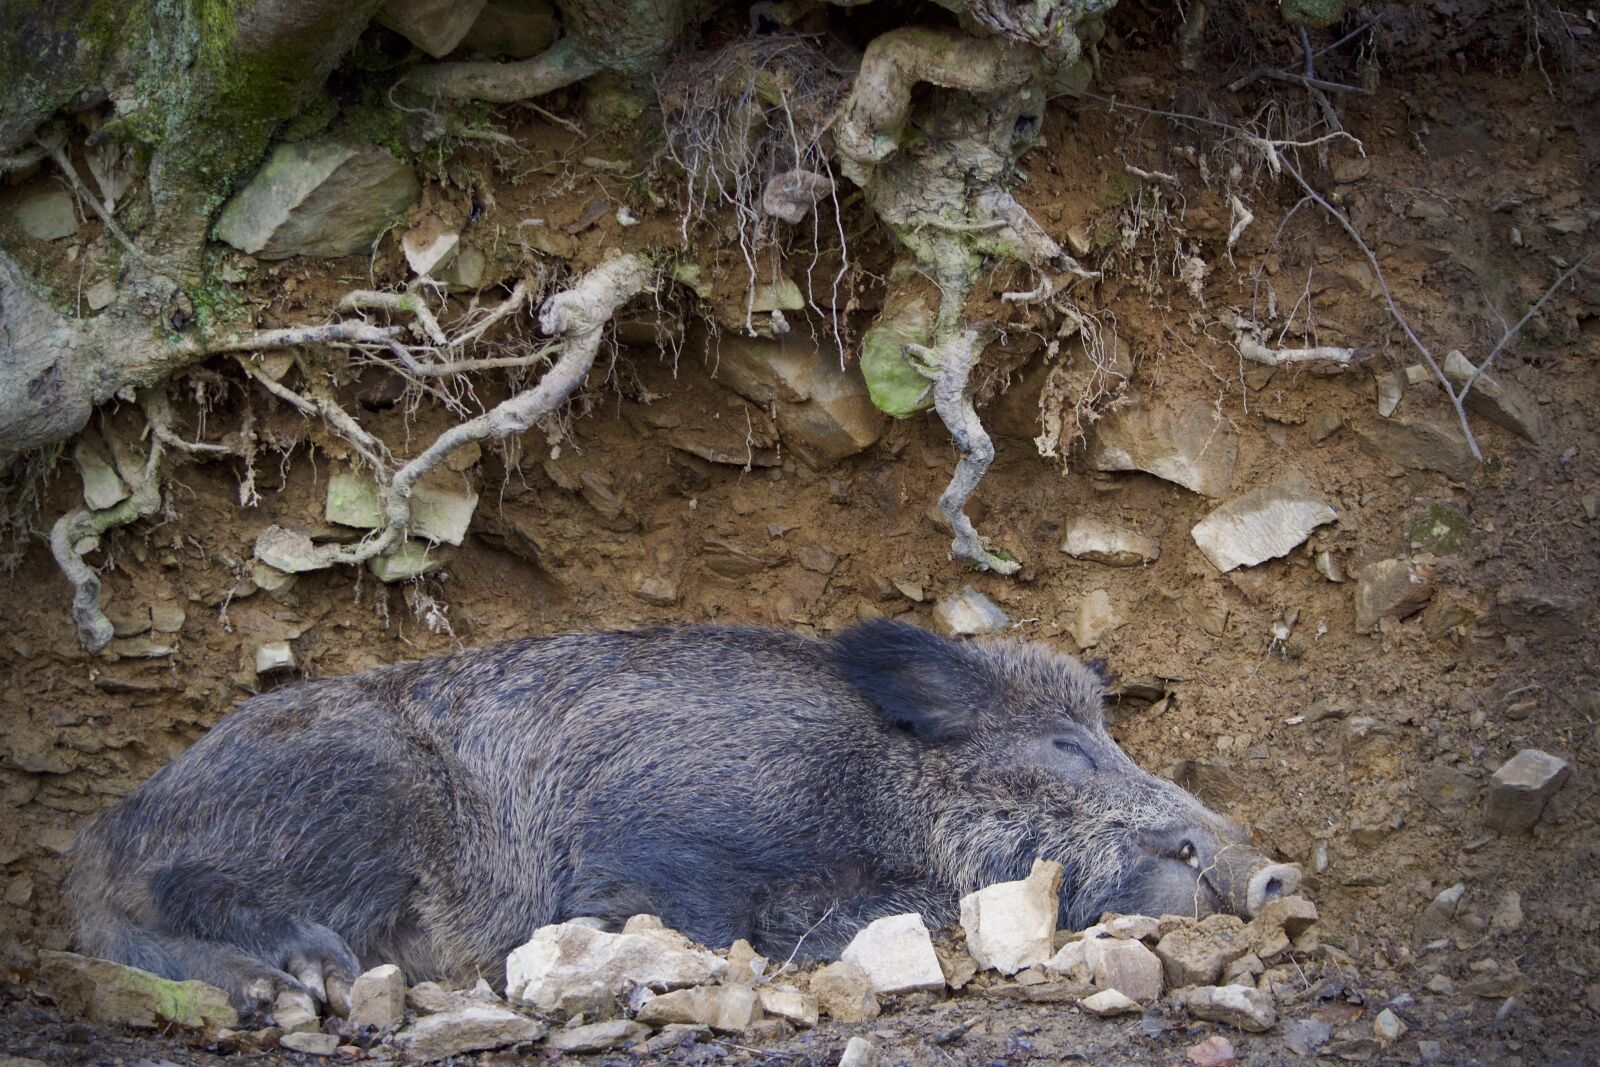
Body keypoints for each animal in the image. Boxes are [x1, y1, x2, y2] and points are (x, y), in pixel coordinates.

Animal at [67, 621, 1299, 1016]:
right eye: (1063, 749)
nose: (1271, 868)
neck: (873, 788)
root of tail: (103, 827)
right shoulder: (663, 832)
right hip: (352, 789)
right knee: (168, 897)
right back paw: (300, 984)